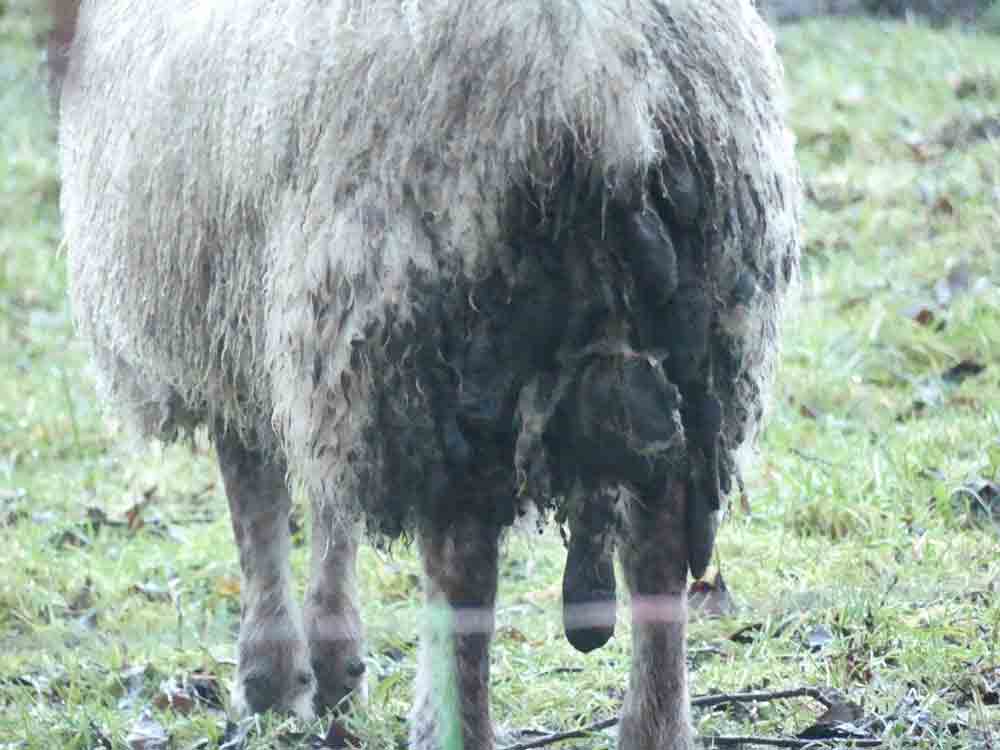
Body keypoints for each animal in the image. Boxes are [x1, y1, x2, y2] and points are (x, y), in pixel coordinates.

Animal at [59, 1, 801, 748]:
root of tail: (612, 91)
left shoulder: (233, 326)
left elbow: (257, 503)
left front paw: (273, 679)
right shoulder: (302, 342)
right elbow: (325, 504)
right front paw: (331, 668)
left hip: (431, 333)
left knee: (463, 569)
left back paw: (450, 720)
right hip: (702, 349)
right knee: (660, 546)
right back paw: (654, 726)